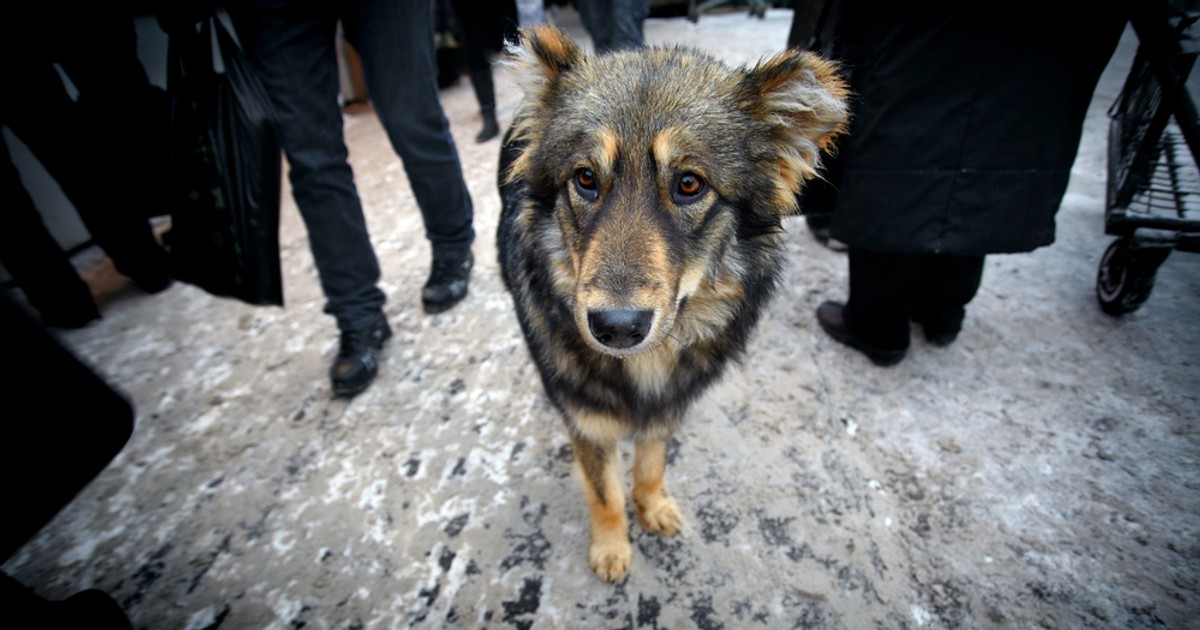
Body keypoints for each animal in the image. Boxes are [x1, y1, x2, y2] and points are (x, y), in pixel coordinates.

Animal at [494, 27, 844, 583]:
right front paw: (611, 548)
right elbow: (604, 493)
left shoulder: (670, 404)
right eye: (586, 178)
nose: (616, 327)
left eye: (689, 184)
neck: (644, 367)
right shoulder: (589, 424)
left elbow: (651, 465)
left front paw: (652, 506)